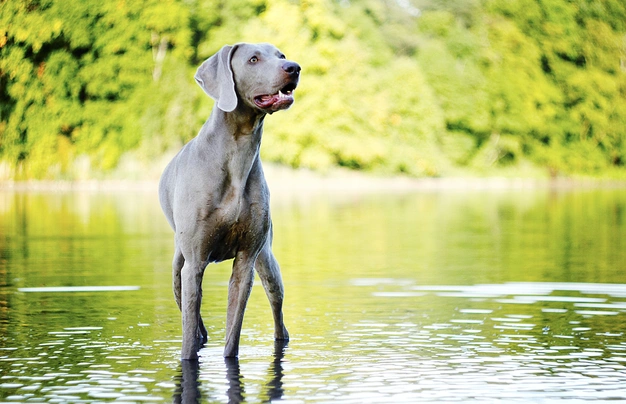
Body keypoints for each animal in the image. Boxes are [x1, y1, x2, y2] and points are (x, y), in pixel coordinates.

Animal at [158, 43, 300, 360]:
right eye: (253, 59)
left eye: (282, 56)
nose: (295, 68)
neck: (238, 152)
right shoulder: (194, 263)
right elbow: (188, 334)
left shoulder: (246, 261)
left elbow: (233, 331)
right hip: (176, 269)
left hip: (268, 263)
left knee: (279, 320)